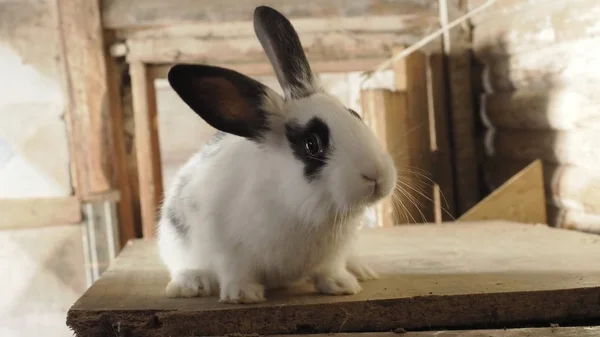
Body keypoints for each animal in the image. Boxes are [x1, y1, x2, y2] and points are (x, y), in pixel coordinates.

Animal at [157, 3, 396, 304]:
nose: (376, 175)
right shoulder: (228, 250)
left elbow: (329, 270)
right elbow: (236, 271)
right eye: (311, 144)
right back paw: (190, 284)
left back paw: (362, 270)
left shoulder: (332, 255)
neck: (304, 209)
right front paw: (243, 294)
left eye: (355, 115)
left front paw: (342, 285)